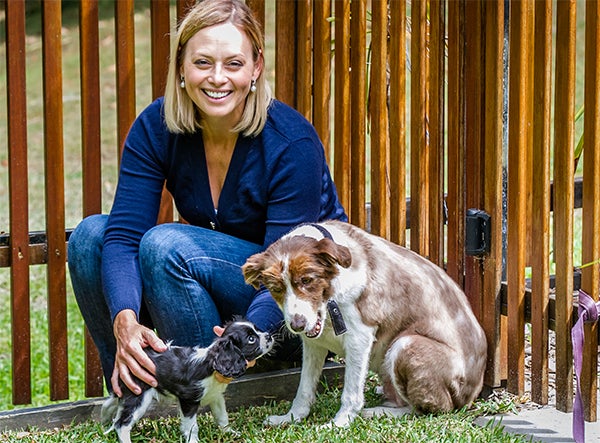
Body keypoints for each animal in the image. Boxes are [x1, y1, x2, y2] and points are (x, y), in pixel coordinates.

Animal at [101, 320, 274, 443]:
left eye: (258, 329)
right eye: (251, 339)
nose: (269, 336)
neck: (211, 366)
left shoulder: (216, 396)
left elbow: (222, 416)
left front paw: (229, 432)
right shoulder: (188, 400)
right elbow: (191, 426)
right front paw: (193, 441)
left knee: (111, 406)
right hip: (140, 395)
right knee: (121, 424)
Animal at [243, 220, 488, 428]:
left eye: (307, 280)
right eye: (276, 288)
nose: (297, 325)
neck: (331, 294)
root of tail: (471, 396)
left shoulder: (359, 337)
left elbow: (351, 392)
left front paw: (339, 424)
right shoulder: (313, 344)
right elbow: (304, 388)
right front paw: (291, 417)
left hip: (407, 345)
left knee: (427, 409)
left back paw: (376, 412)